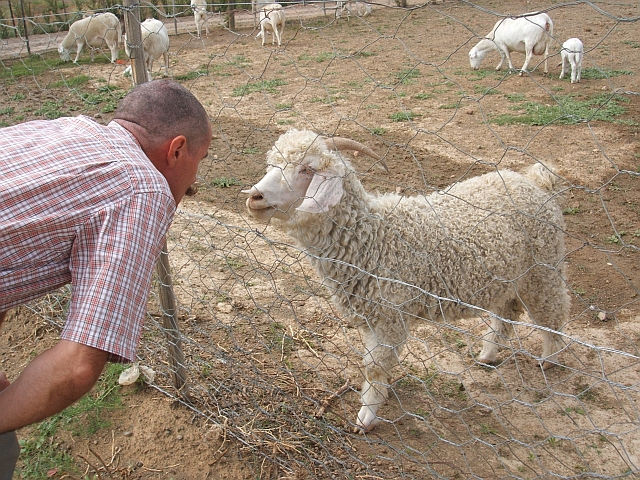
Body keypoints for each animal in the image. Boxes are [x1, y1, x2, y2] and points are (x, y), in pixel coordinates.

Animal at [244, 129, 568, 434]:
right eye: (272, 164)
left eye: (307, 169)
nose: (254, 197)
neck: (375, 238)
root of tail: (536, 183)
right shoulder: (373, 318)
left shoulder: (391, 318)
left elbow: (375, 368)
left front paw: (365, 418)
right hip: (511, 277)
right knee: (506, 312)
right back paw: (487, 355)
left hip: (545, 269)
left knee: (553, 312)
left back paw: (549, 359)